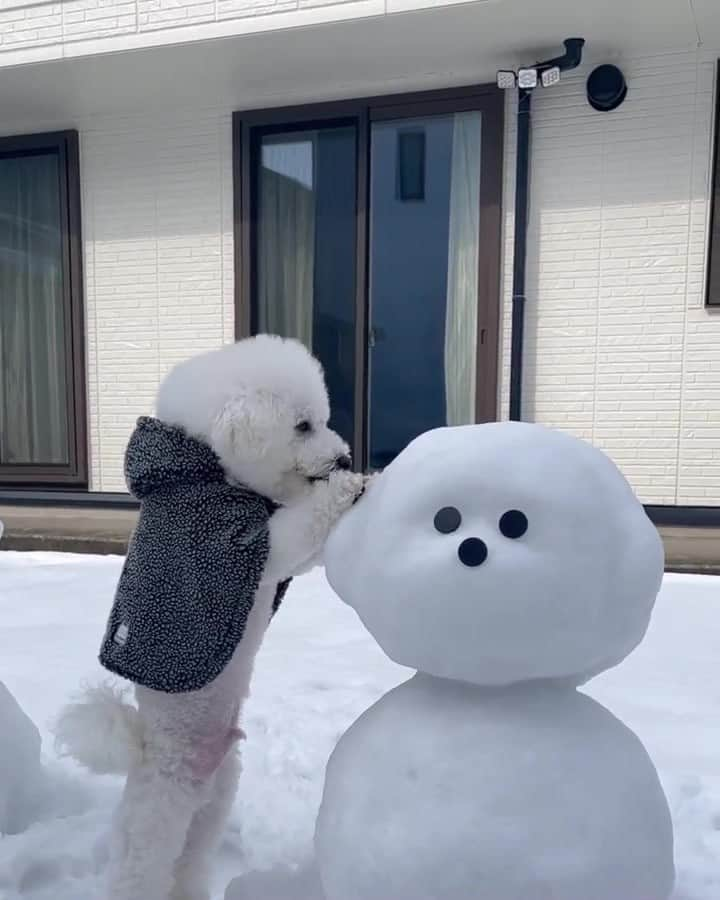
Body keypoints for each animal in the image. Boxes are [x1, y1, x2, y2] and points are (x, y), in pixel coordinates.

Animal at [54, 336, 366, 900]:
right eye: (302, 425)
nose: (342, 456)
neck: (210, 470)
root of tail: (143, 749)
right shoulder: (239, 545)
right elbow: (295, 532)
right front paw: (352, 486)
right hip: (159, 816)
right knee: (140, 871)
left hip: (215, 801)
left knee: (191, 862)